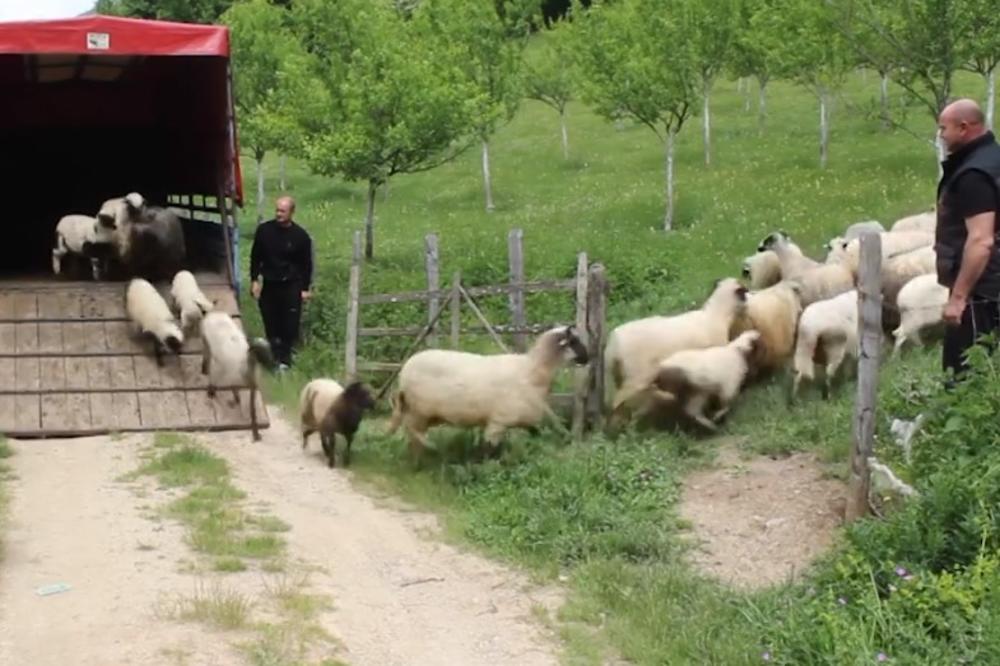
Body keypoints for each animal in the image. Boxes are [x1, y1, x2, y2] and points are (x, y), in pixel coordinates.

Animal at [386, 322, 588, 460]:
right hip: (418, 411)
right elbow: (490, 450)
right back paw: (426, 454)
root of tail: (404, 370)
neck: (532, 370)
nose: (588, 357)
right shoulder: (498, 422)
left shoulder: (526, 420)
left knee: (412, 436)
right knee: (413, 433)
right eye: (573, 341)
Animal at [600, 278, 752, 422]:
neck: (717, 315)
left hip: (620, 375)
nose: (751, 300)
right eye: (744, 293)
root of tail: (613, 343)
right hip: (636, 377)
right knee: (617, 402)